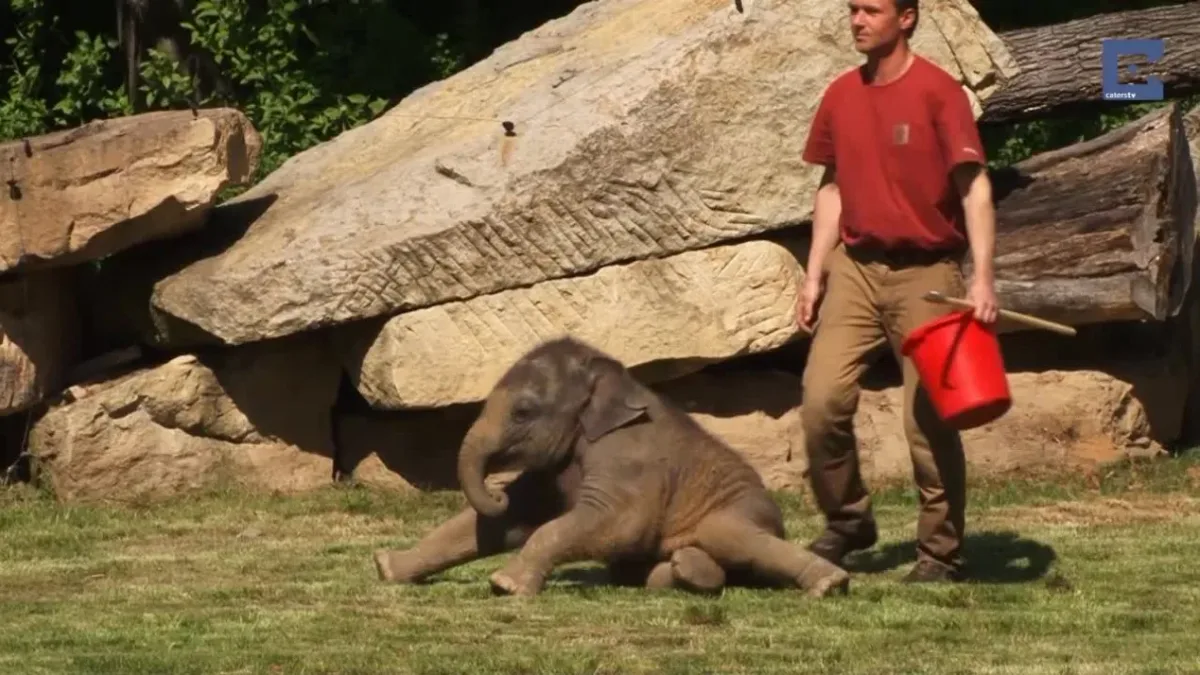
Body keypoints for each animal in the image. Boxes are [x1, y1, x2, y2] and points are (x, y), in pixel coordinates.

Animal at [372, 336, 851, 598]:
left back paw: (831, 585)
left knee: (730, 536)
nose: (495, 489)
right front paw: (386, 568)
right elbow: (507, 521)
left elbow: (616, 523)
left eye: (524, 412)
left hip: (744, 511)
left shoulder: (628, 458)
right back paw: (688, 570)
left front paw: (505, 586)